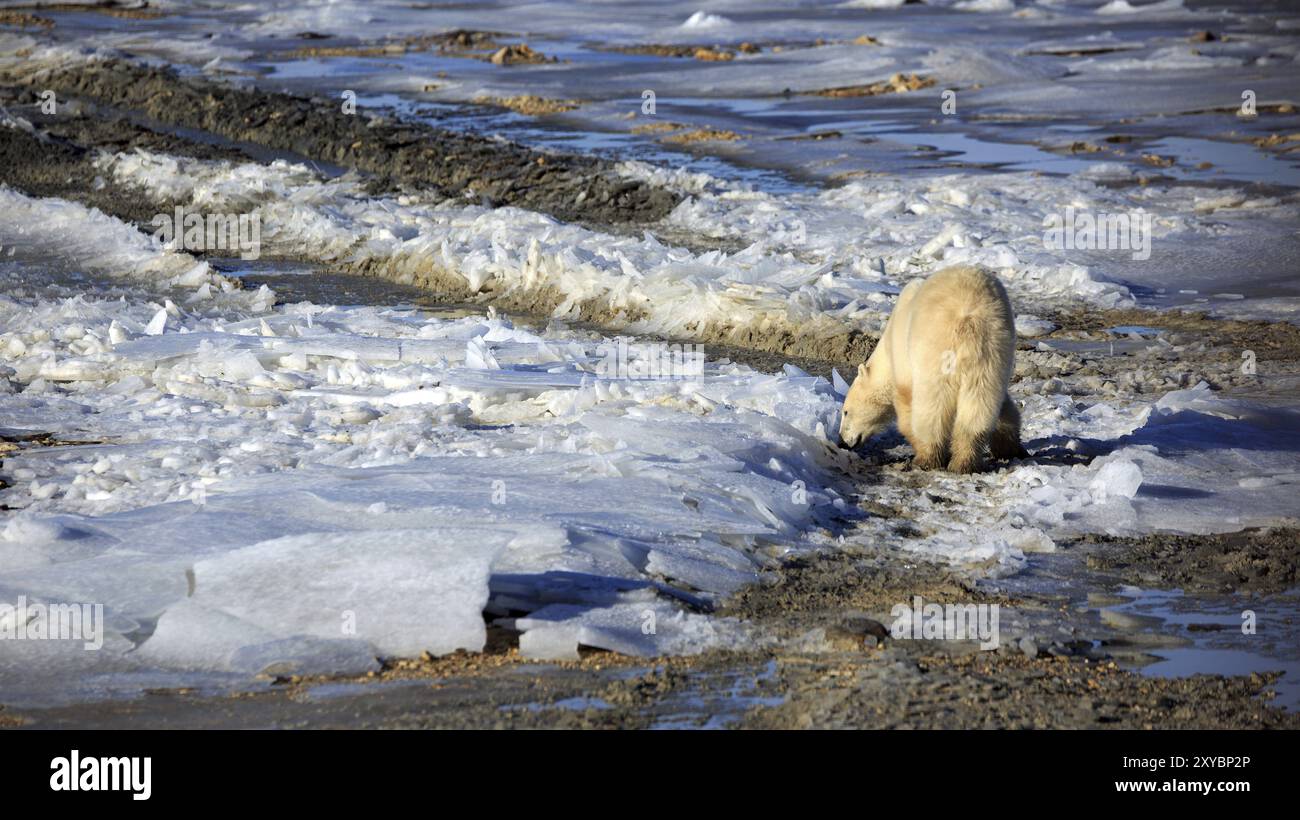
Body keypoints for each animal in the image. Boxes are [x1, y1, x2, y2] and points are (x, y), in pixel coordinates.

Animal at [837, 266, 1029, 475]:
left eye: (845, 412)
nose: (841, 442)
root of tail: (968, 322)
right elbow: (1003, 406)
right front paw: (1010, 448)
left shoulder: (904, 359)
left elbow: (906, 402)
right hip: (992, 352)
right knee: (978, 403)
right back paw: (964, 463)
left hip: (936, 350)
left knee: (932, 408)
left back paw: (927, 459)